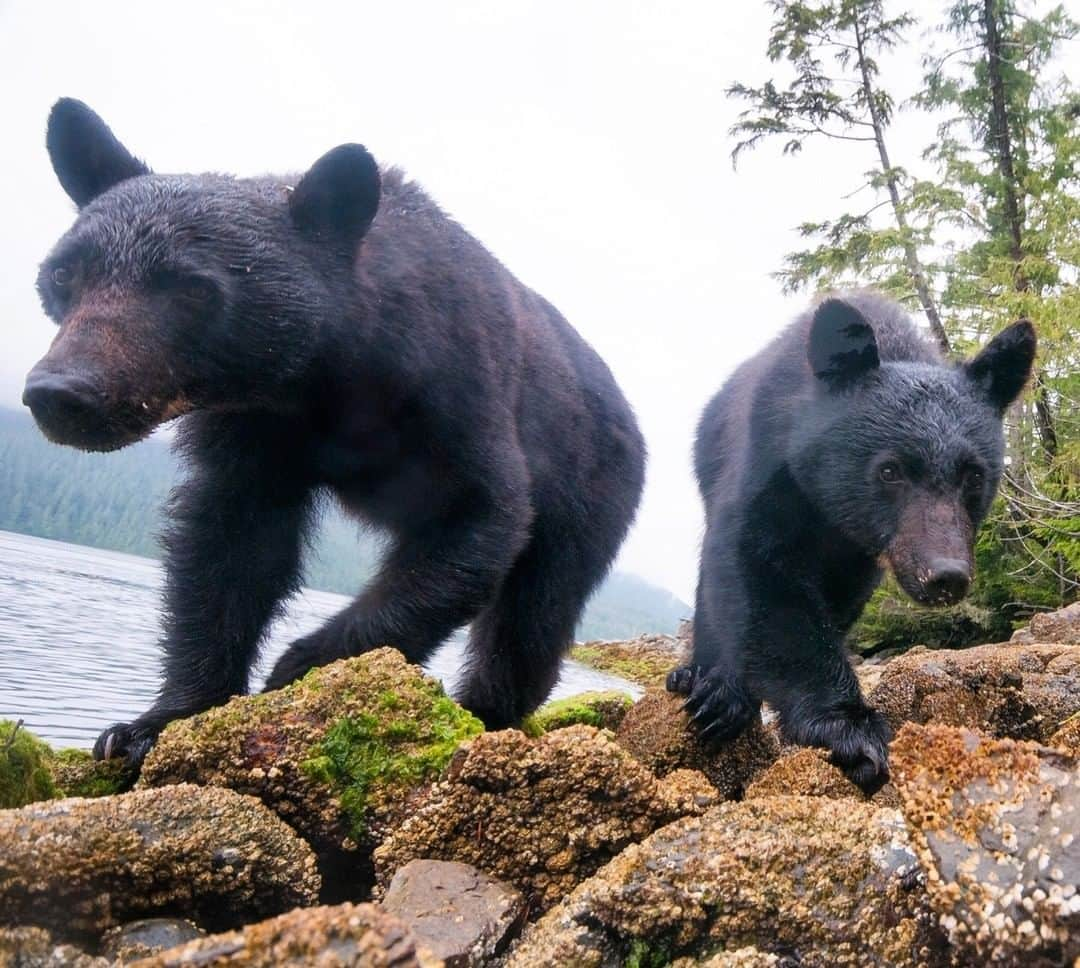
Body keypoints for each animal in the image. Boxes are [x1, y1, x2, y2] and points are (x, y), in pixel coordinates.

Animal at [25, 98, 643, 764]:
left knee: (534, 614)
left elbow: (478, 520)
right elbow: (230, 546)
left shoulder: (456, 387)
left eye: (192, 286)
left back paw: (489, 712)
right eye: (63, 273)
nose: (62, 393)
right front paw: (151, 723)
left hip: (591, 489)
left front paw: (299, 666)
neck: (324, 375)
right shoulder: (256, 428)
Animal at [669, 293, 1032, 795]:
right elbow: (759, 573)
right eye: (890, 470)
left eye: (974, 476)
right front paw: (850, 730)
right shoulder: (768, 463)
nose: (945, 575)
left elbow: (836, 600)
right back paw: (703, 678)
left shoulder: (860, 553)